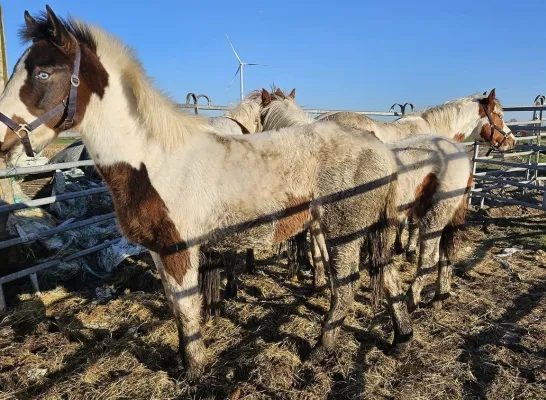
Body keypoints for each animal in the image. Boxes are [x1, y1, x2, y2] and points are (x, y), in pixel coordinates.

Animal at [0, 7, 412, 380]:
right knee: (388, 276)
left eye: (43, 72)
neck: (157, 160)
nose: (3, 139)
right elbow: (176, 307)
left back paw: (320, 350)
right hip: (360, 230)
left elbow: (186, 311)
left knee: (346, 289)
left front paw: (194, 372)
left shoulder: (180, 250)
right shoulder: (159, 252)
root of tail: (378, 146)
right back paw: (401, 338)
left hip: (344, 232)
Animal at [260, 89, 472, 314]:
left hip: (435, 215)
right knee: (445, 254)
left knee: (430, 257)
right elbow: (321, 255)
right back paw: (439, 297)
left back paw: (411, 299)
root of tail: (458, 150)